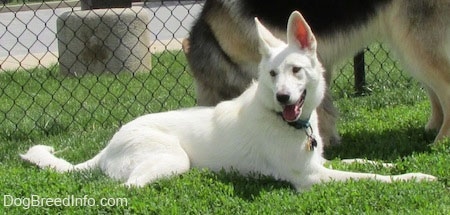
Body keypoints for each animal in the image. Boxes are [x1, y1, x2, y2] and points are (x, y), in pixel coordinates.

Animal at [21, 11, 436, 190]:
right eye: (272, 75)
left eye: (296, 70)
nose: (284, 96)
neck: (282, 119)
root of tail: (109, 146)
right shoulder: (311, 178)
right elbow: (370, 177)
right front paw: (415, 177)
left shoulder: (319, 161)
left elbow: (364, 162)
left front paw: (393, 162)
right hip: (173, 160)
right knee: (126, 188)